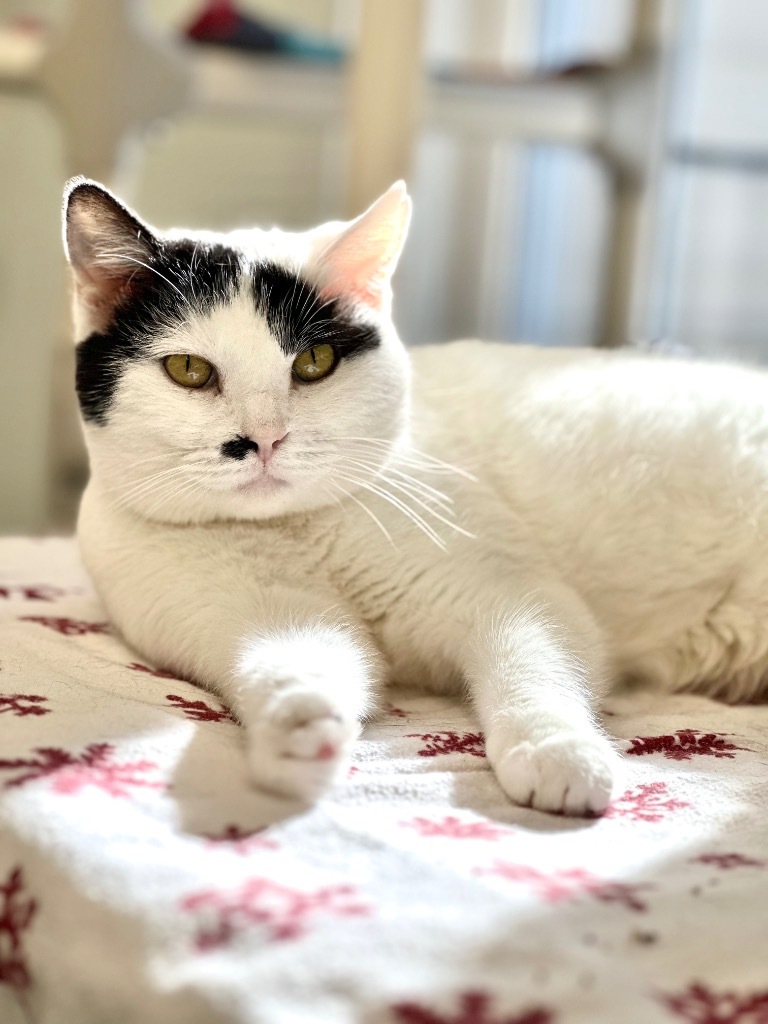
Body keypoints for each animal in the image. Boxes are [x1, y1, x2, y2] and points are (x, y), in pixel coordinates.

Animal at [63, 174, 768, 815]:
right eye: (189, 370)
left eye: (314, 361)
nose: (263, 439)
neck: (296, 531)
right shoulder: (262, 614)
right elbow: (290, 660)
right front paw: (299, 731)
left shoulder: (508, 593)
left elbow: (533, 665)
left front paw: (557, 752)